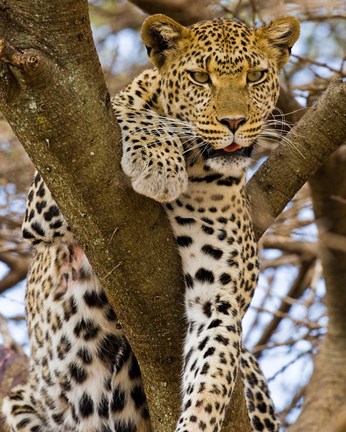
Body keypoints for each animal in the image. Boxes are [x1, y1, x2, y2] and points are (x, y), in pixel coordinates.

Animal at [2, 12, 300, 432]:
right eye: (200, 77)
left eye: (256, 76)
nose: (234, 122)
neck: (197, 164)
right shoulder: (48, 197)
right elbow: (134, 112)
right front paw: (159, 163)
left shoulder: (218, 304)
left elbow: (209, 384)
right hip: (22, 403)